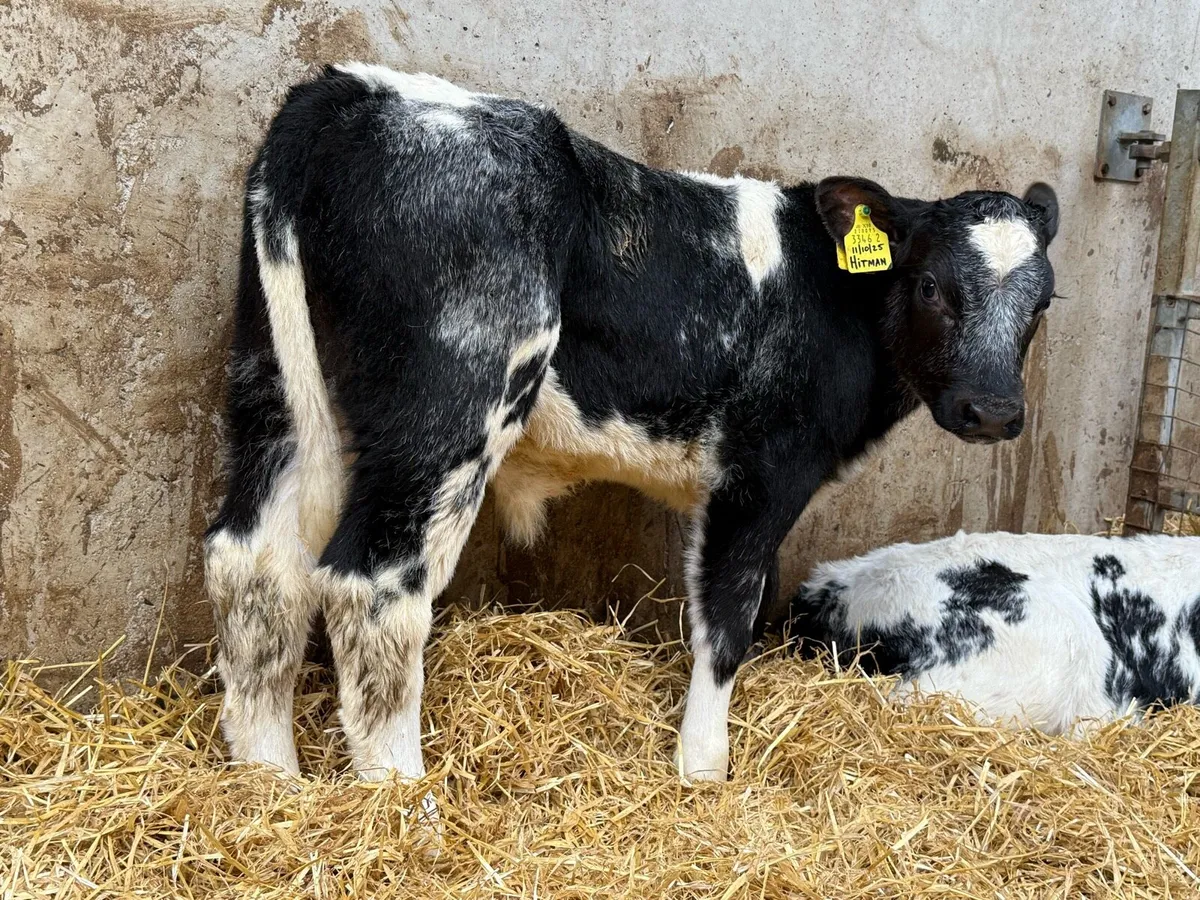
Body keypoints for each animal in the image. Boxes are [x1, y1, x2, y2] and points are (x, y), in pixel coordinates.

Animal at [203, 62, 1059, 798]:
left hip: (272, 380)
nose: (993, 411)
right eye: (931, 285)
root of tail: (354, 89)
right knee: (374, 583)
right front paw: (703, 772)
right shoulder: (761, 472)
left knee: (255, 561)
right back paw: (405, 802)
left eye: (1044, 301)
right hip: (452, 405)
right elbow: (728, 620)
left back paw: (272, 782)